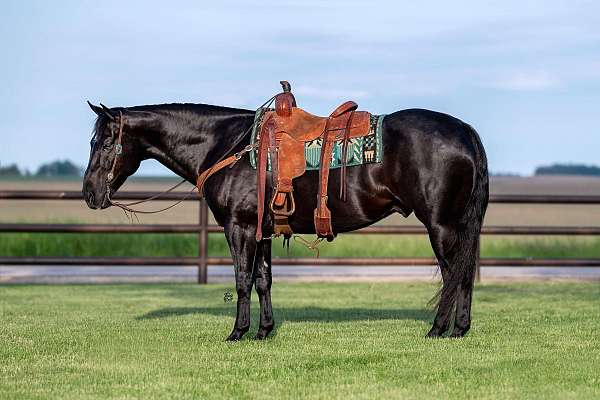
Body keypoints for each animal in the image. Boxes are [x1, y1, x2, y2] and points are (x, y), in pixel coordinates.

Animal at [83, 98, 488, 340]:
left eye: (103, 143)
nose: (89, 193)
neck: (226, 145)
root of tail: (464, 131)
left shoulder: (240, 228)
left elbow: (242, 280)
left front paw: (238, 333)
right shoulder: (261, 231)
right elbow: (264, 281)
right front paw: (264, 331)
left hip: (440, 225)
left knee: (453, 274)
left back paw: (438, 329)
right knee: (464, 273)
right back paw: (459, 330)